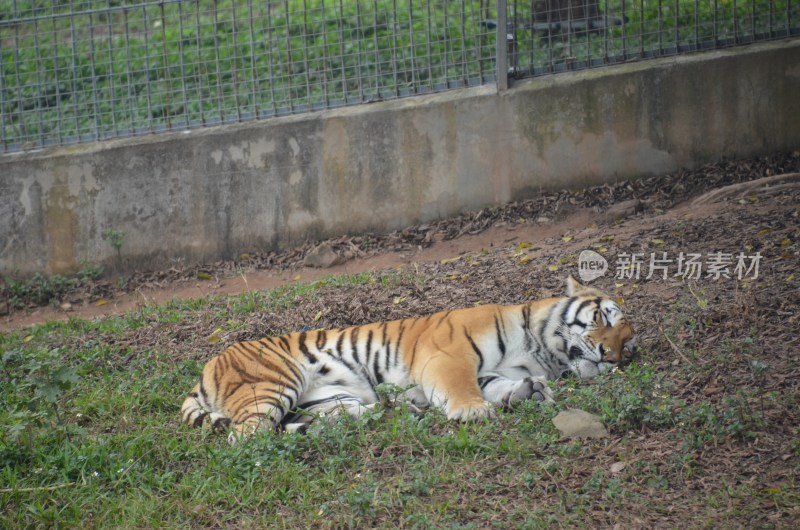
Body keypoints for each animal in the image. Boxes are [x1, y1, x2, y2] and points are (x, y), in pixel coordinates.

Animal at [181, 272, 636, 442]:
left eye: (628, 345)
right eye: (600, 317)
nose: (610, 356)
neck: (541, 348)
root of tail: (206, 368)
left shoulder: (491, 371)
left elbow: (502, 385)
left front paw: (530, 391)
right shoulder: (448, 356)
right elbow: (461, 389)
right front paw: (474, 412)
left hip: (332, 397)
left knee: (328, 418)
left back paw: (399, 411)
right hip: (274, 384)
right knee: (246, 437)